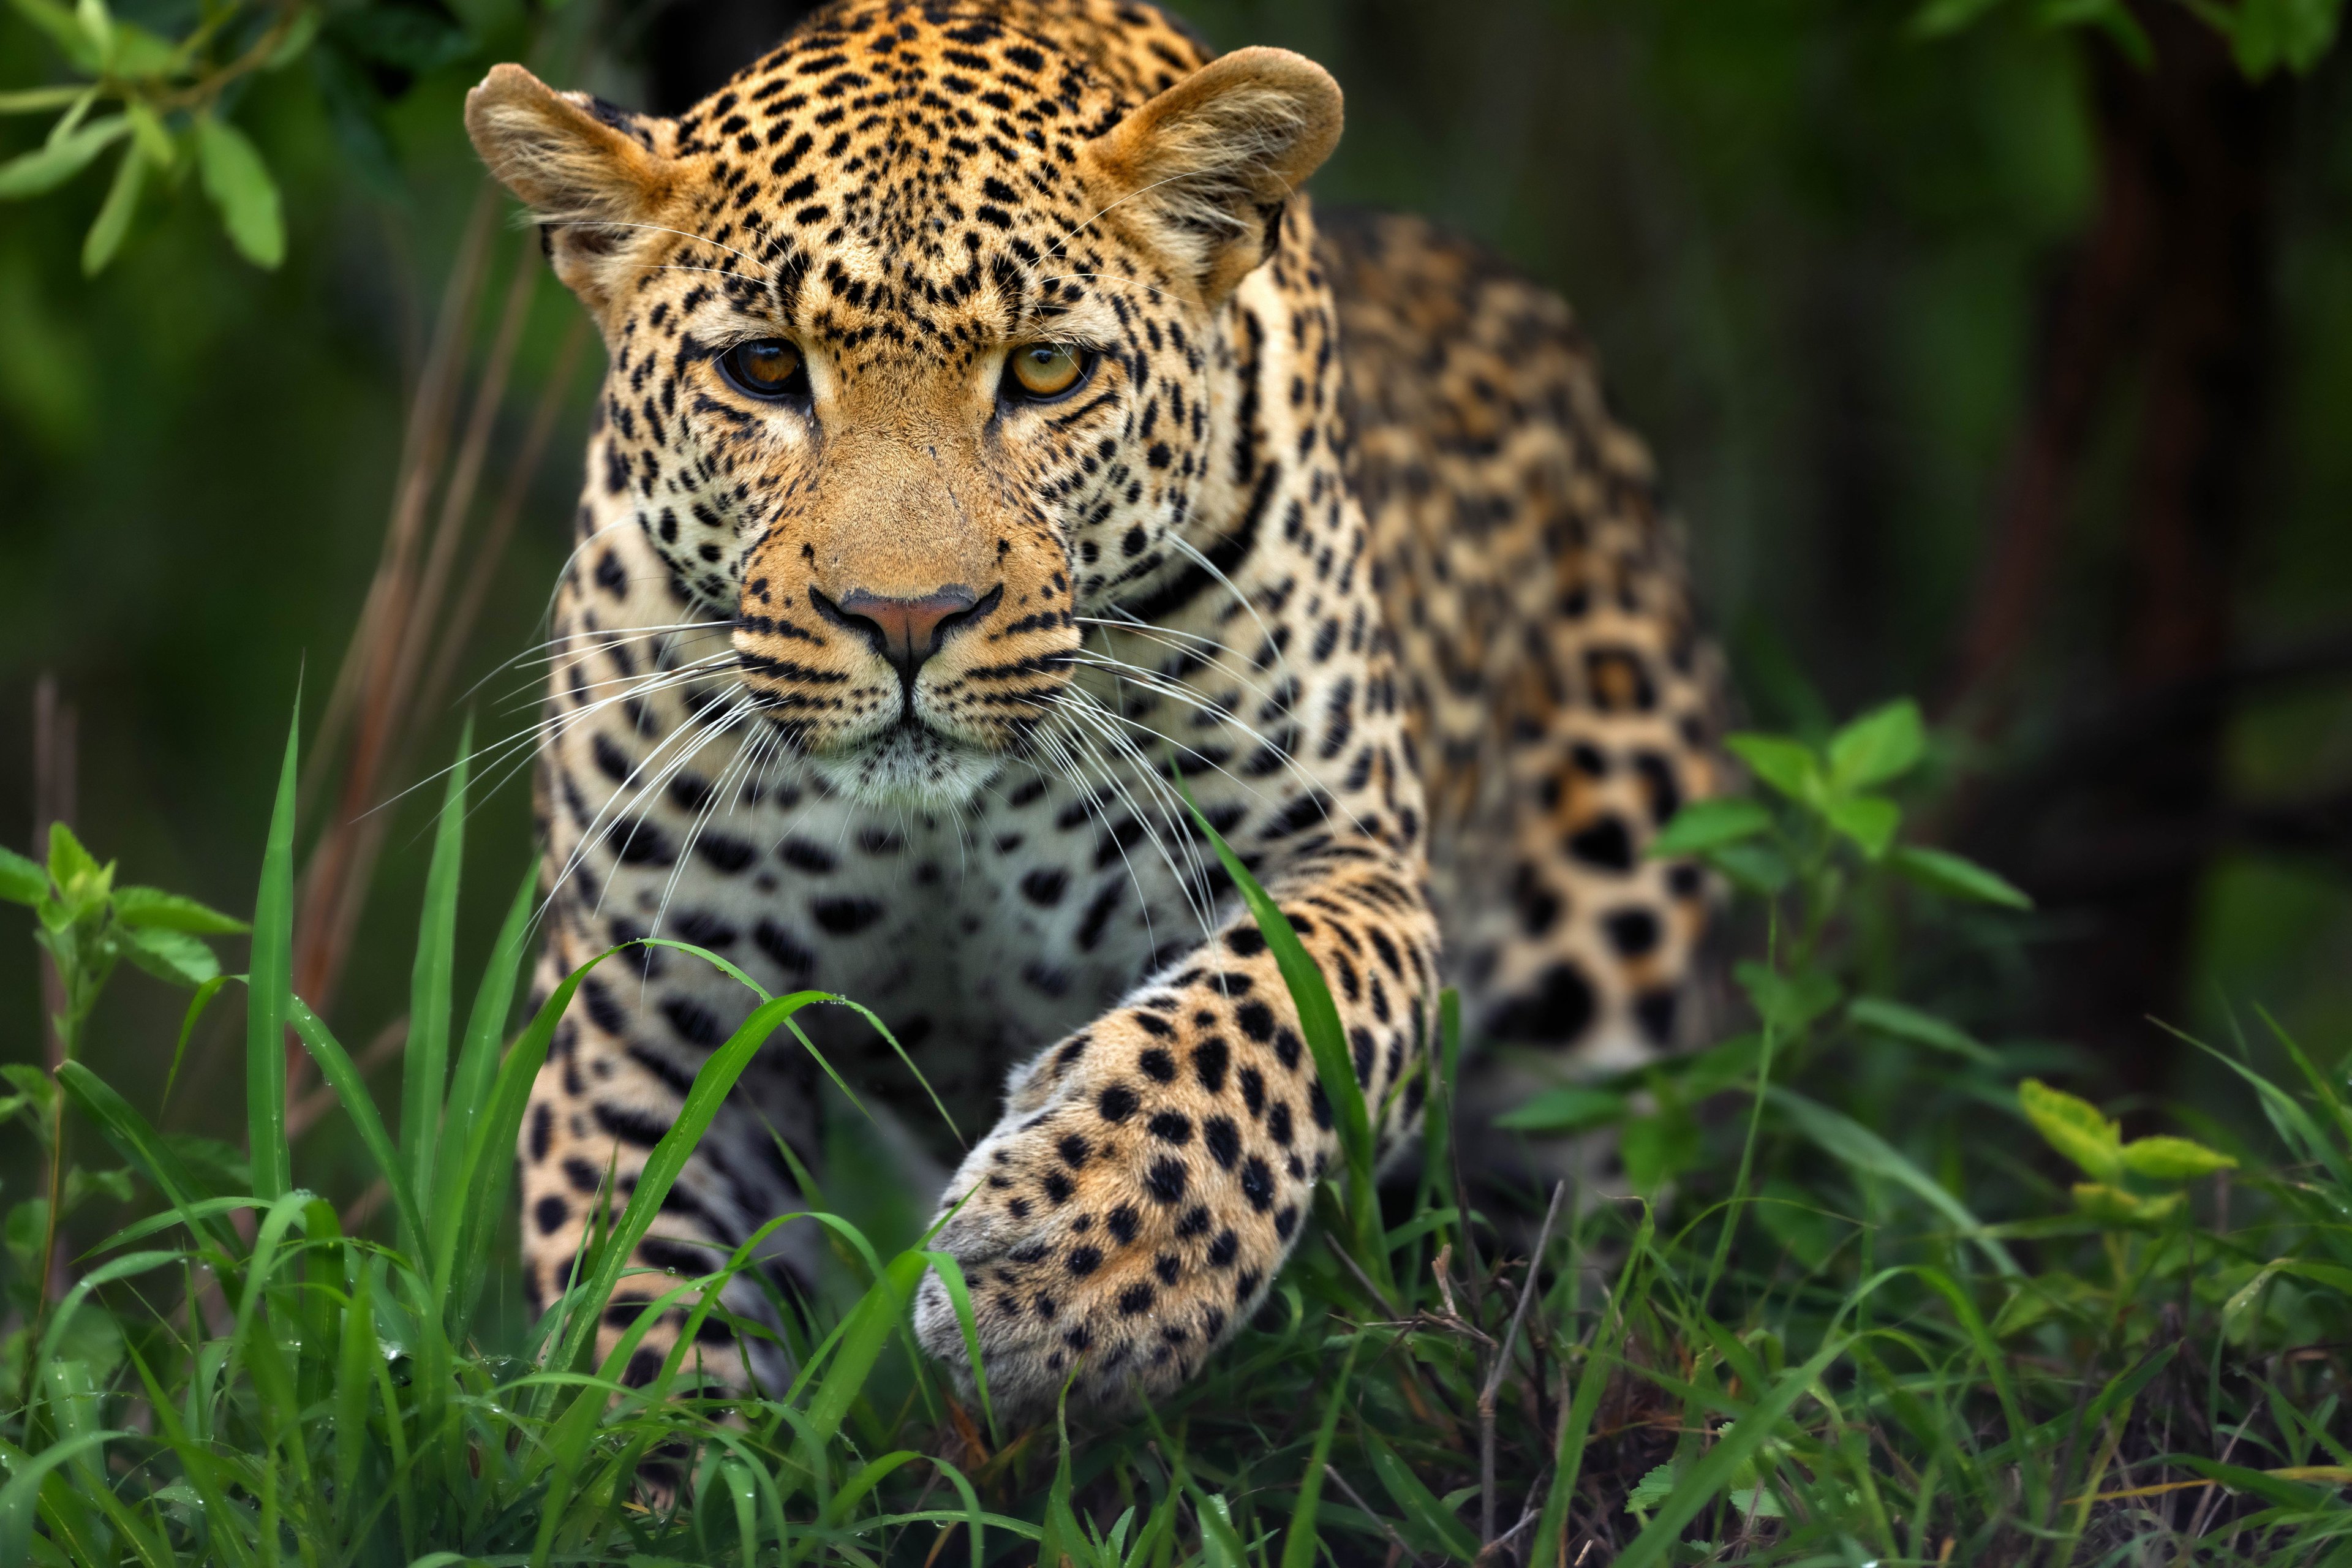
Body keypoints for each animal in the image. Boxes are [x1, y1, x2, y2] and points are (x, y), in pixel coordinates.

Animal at [464, 0, 1723, 1424]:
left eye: (1049, 370)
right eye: (765, 368)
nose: (908, 615)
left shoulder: (1351, 863)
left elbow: (1258, 1023)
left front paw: (1076, 1268)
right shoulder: (645, 992)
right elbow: (639, 1314)